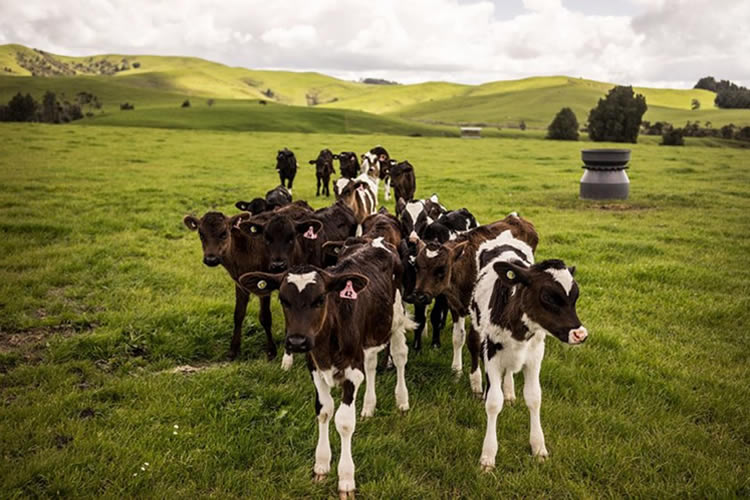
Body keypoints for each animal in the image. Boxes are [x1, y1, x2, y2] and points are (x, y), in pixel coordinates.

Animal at [239, 241, 414, 496]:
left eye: (320, 299)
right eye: (282, 299)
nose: (297, 342)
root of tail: (378, 241)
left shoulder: (352, 372)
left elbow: (344, 421)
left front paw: (346, 479)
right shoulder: (314, 367)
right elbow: (323, 411)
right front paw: (321, 466)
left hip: (397, 317)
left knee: (400, 356)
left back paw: (402, 401)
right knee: (371, 364)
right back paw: (369, 407)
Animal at [472, 234, 592, 468]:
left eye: (576, 296)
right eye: (548, 297)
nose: (580, 334)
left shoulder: (535, 355)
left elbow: (535, 397)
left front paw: (538, 447)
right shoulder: (491, 352)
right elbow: (493, 402)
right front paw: (488, 455)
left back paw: (509, 391)